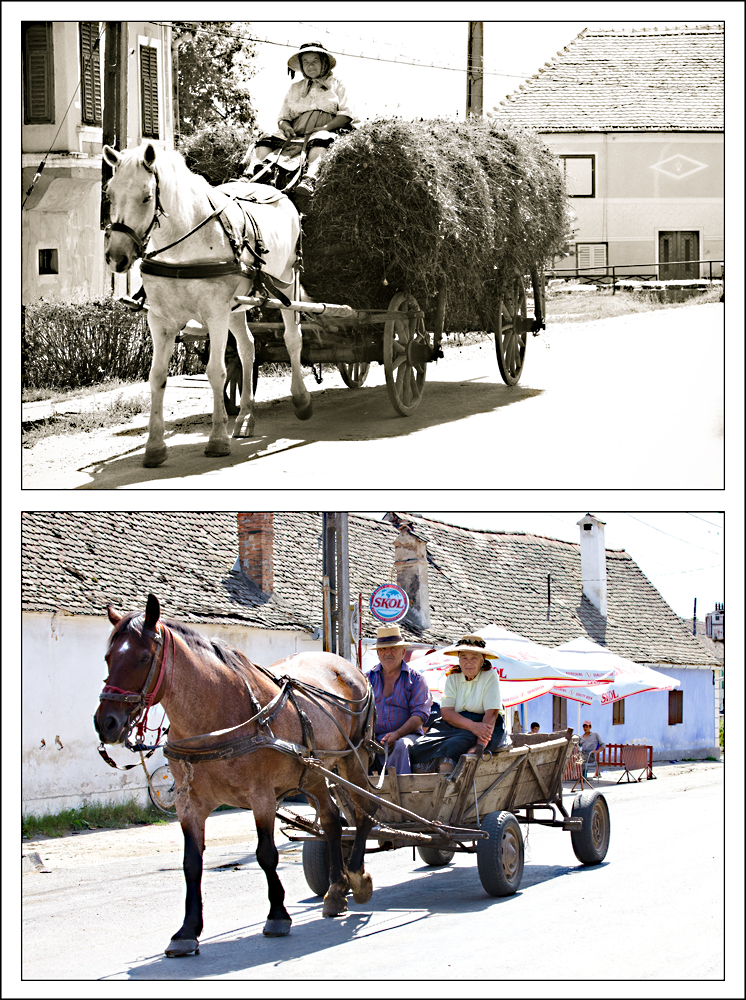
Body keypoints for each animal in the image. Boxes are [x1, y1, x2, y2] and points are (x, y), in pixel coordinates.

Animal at [93, 596, 374, 956]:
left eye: (143, 657)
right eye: (108, 658)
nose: (106, 723)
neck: (216, 717)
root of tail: (349, 667)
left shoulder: (262, 798)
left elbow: (266, 855)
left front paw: (277, 915)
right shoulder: (189, 805)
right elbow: (191, 863)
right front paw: (187, 931)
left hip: (352, 759)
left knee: (366, 811)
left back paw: (357, 876)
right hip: (312, 773)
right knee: (332, 822)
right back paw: (336, 891)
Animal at [102, 142, 310, 468]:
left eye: (147, 196)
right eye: (109, 193)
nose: (116, 257)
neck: (183, 244)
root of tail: (278, 192)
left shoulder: (215, 313)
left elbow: (216, 372)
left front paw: (217, 439)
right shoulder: (161, 320)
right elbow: (157, 376)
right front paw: (154, 446)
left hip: (286, 282)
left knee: (292, 339)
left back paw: (301, 398)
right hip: (235, 308)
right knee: (247, 348)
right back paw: (246, 416)